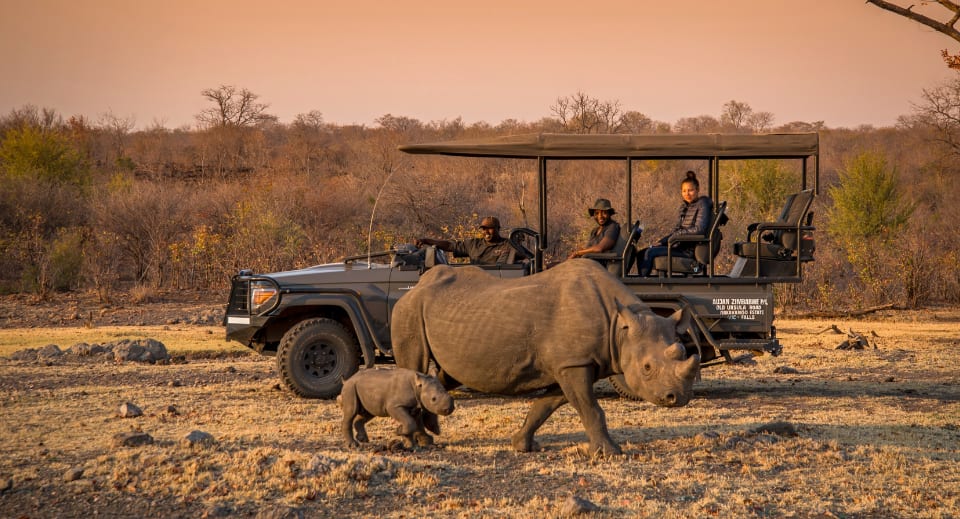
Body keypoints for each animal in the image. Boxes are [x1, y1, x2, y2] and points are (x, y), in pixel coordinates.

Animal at [391, 259, 700, 456]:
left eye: (685, 353)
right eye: (647, 368)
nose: (678, 398)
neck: (620, 326)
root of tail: (412, 288)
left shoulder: (570, 363)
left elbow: (547, 405)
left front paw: (521, 445)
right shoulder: (574, 362)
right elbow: (591, 408)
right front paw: (610, 453)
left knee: (445, 375)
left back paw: (430, 431)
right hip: (408, 311)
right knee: (414, 367)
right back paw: (423, 441)